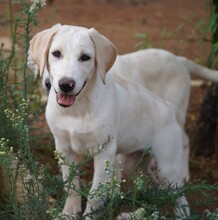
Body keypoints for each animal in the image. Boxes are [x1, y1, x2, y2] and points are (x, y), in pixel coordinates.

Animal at [29, 24, 189, 218]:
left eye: (85, 57)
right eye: (56, 53)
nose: (66, 85)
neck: (77, 110)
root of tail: (168, 107)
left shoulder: (104, 153)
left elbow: (95, 195)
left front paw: (89, 216)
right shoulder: (64, 149)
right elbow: (71, 187)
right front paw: (68, 213)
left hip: (168, 166)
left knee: (181, 198)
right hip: (134, 164)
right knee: (154, 187)